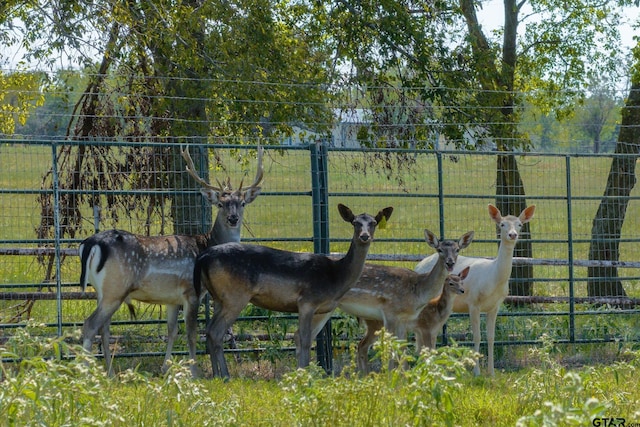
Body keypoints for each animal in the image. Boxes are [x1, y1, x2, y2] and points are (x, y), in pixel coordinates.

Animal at [79, 145, 264, 376]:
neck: (206, 244)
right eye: (221, 204)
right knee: (90, 325)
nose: (233, 218)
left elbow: (172, 331)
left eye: (242, 203)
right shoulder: (191, 292)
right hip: (115, 288)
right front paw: (194, 373)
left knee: (104, 328)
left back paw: (110, 373)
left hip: (102, 291)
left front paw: (165, 368)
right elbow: (191, 334)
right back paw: (85, 371)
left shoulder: (171, 299)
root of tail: (91, 244)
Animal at [194, 203, 396, 378]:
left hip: (218, 297)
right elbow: (305, 340)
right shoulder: (307, 301)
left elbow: (302, 339)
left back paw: (216, 375)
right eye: (355, 222)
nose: (364, 236)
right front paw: (305, 375)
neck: (336, 276)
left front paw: (302, 373)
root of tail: (204, 256)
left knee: (209, 331)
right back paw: (225, 376)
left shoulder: (324, 310)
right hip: (235, 296)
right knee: (216, 332)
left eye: (373, 222)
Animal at [310, 229, 476, 372]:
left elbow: (403, 350)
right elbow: (393, 349)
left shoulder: (404, 320)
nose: (450, 263)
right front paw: (391, 380)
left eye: (457, 249)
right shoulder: (391, 313)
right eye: (439, 249)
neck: (417, 292)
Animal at [416, 204, 536, 374]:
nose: (512, 234)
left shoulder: (495, 306)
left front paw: (491, 372)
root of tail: (417, 265)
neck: (493, 280)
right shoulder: (473, 303)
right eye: (502, 224)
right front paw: (476, 372)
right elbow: (477, 336)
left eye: (519, 224)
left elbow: (491, 337)